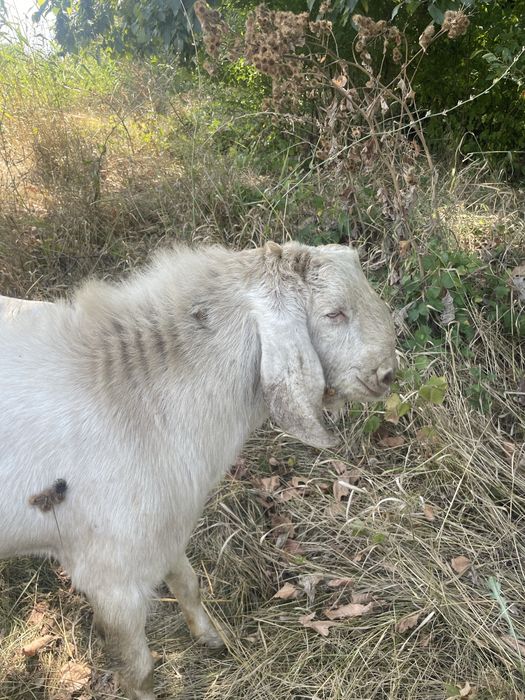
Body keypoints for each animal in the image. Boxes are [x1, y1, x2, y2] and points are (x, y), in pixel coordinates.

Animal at [0, 242, 396, 699]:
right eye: (334, 313)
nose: (389, 373)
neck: (138, 402)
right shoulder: (110, 578)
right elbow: (138, 670)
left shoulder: (166, 531)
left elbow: (188, 584)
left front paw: (212, 636)